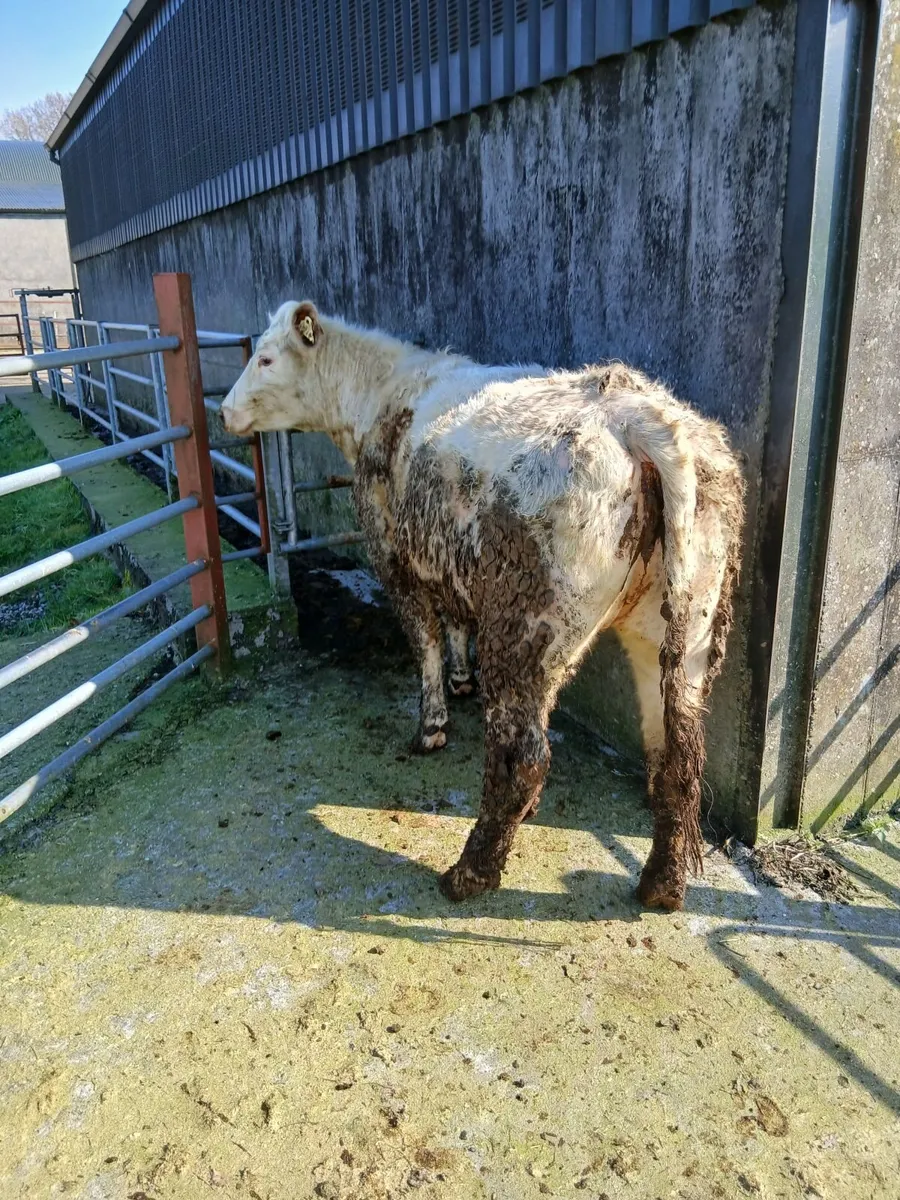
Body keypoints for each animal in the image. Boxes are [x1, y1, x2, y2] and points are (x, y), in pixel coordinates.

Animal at [222, 302, 745, 911]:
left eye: (264, 357)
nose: (224, 409)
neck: (385, 389)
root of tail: (636, 413)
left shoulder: (394, 554)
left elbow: (425, 638)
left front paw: (432, 724)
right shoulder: (452, 561)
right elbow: (455, 624)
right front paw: (462, 679)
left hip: (525, 625)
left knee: (524, 754)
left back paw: (469, 873)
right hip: (679, 627)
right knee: (675, 758)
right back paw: (661, 885)